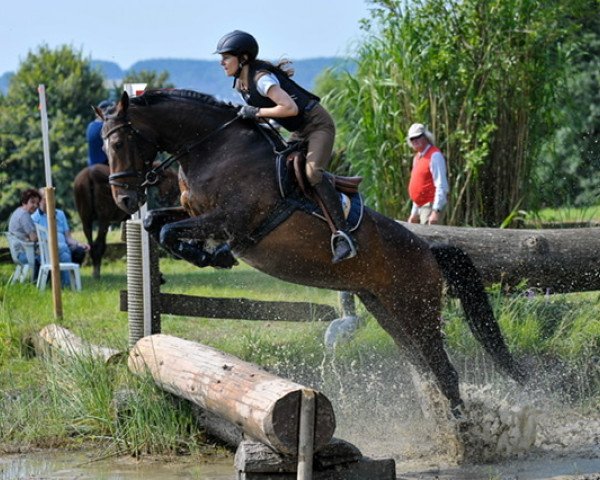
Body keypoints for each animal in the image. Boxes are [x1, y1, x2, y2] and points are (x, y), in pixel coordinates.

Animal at [97, 90, 524, 420]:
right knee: (424, 366)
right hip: (386, 310)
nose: (124, 200)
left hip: (417, 308)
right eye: (103, 145)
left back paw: (463, 431)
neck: (213, 148)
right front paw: (207, 255)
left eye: (118, 144)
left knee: (443, 368)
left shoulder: (231, 219)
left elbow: (168, 229)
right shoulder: (194, 213)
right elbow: (155, 222)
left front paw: (213, 256)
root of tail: (428, 251)